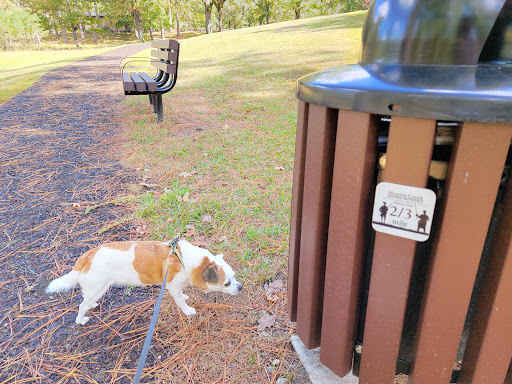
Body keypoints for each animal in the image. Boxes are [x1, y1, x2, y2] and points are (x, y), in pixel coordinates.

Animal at [45, 240, 242, 324]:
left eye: (235, 276)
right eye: (227, 283)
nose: (240, 287)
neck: (183, 259)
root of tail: (86, 257)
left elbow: (182, 294)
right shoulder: (172, 287)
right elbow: (180, 301)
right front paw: (188, 310)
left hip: (95, 290)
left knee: (85, 301)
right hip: (98, 288)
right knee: (81, 307)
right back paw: (81, 320)